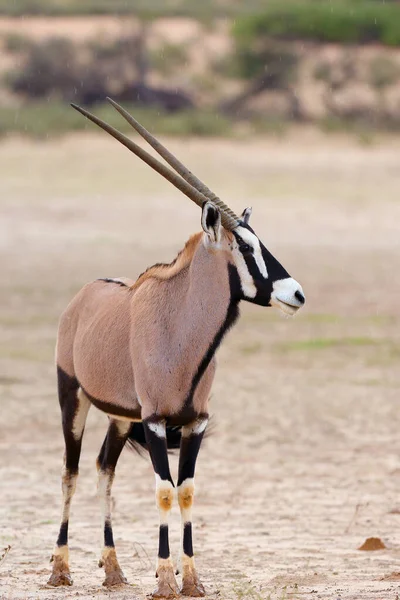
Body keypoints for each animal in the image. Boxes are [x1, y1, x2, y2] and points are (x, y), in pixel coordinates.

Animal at [49, 97, 306, 596]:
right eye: (246, 248)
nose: (296, 294)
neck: (182, 331)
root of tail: (83, 296)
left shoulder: (194, 422)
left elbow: (185, 489)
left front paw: (191, 579)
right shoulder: (154, 420)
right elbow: (165, 491)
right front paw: (167, 578)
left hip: (119, 417)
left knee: (104, 469)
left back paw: (113, 570)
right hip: (74, 398)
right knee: (71, 472)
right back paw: (60, 569)